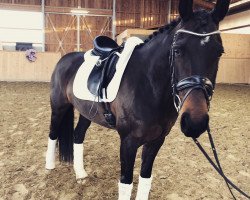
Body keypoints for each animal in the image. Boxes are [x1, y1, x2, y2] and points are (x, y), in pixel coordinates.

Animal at [45, 0, 230, 199]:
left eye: (219, 52)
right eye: (177, 50)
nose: (195, 122)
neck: (148, 85)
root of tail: (64, 59)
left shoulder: (156, 141)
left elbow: (145, 179)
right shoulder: (128, 142)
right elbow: (126, 183)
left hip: (87, 112)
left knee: (78, 136)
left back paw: (80, 174)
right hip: (58, 108)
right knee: (53, 134)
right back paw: (49, 168)